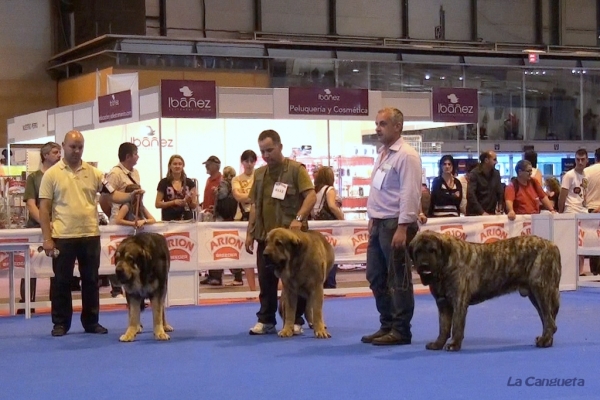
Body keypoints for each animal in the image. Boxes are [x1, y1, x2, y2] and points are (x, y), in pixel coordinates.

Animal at [410, 231, 560, 350]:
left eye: (432, 250)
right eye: (418, 251)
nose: (424, 265)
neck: (445, 266)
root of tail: (552, 245)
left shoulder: (459, 300)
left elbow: (456, 325)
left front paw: (454, 344)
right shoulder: (442, 303)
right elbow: (443, 327)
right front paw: (438, 344)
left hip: (541, 289)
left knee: (549, 320)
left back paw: (545, 340)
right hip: (535, 295)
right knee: (547, 318)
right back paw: (546, 340)